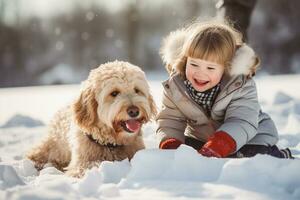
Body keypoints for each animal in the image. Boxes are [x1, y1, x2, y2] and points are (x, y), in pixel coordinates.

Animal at [26, 60, 157, 177]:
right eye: (114, 93)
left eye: (137, 90)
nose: (134, 111)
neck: (110, 143)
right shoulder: (81, 164)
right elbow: (91, 165)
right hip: (54, 146)